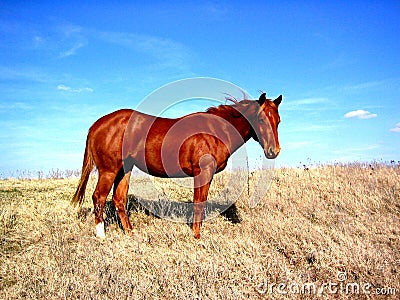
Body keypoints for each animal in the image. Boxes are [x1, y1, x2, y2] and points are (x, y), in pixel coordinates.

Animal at [71, 92, 282, 238]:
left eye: (278, 120)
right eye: (261, 118)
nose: (274, 151)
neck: (216, 130)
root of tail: (97, 125)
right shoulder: (202, 173)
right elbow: (199, 203)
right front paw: (196, 235)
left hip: (125, 169)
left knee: (119, 199)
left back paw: (130, 232)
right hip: (109, 170)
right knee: (98, 197)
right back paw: (101, 235)